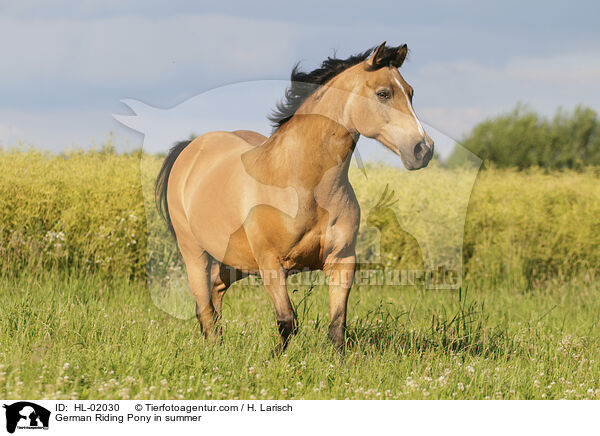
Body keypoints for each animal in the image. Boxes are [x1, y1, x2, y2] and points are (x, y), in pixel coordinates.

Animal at [155, 41, 434, 352]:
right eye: (383, 93)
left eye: (410, 92)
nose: (423, 149)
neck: (304, 187)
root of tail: (191, 148)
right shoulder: (271, 265)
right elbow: (288, 322)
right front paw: (272, 358)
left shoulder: (342, 261)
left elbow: (337, 327)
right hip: (194, 252)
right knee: (204, 307)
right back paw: (214, 350)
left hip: (235, 260)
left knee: (214, 294)